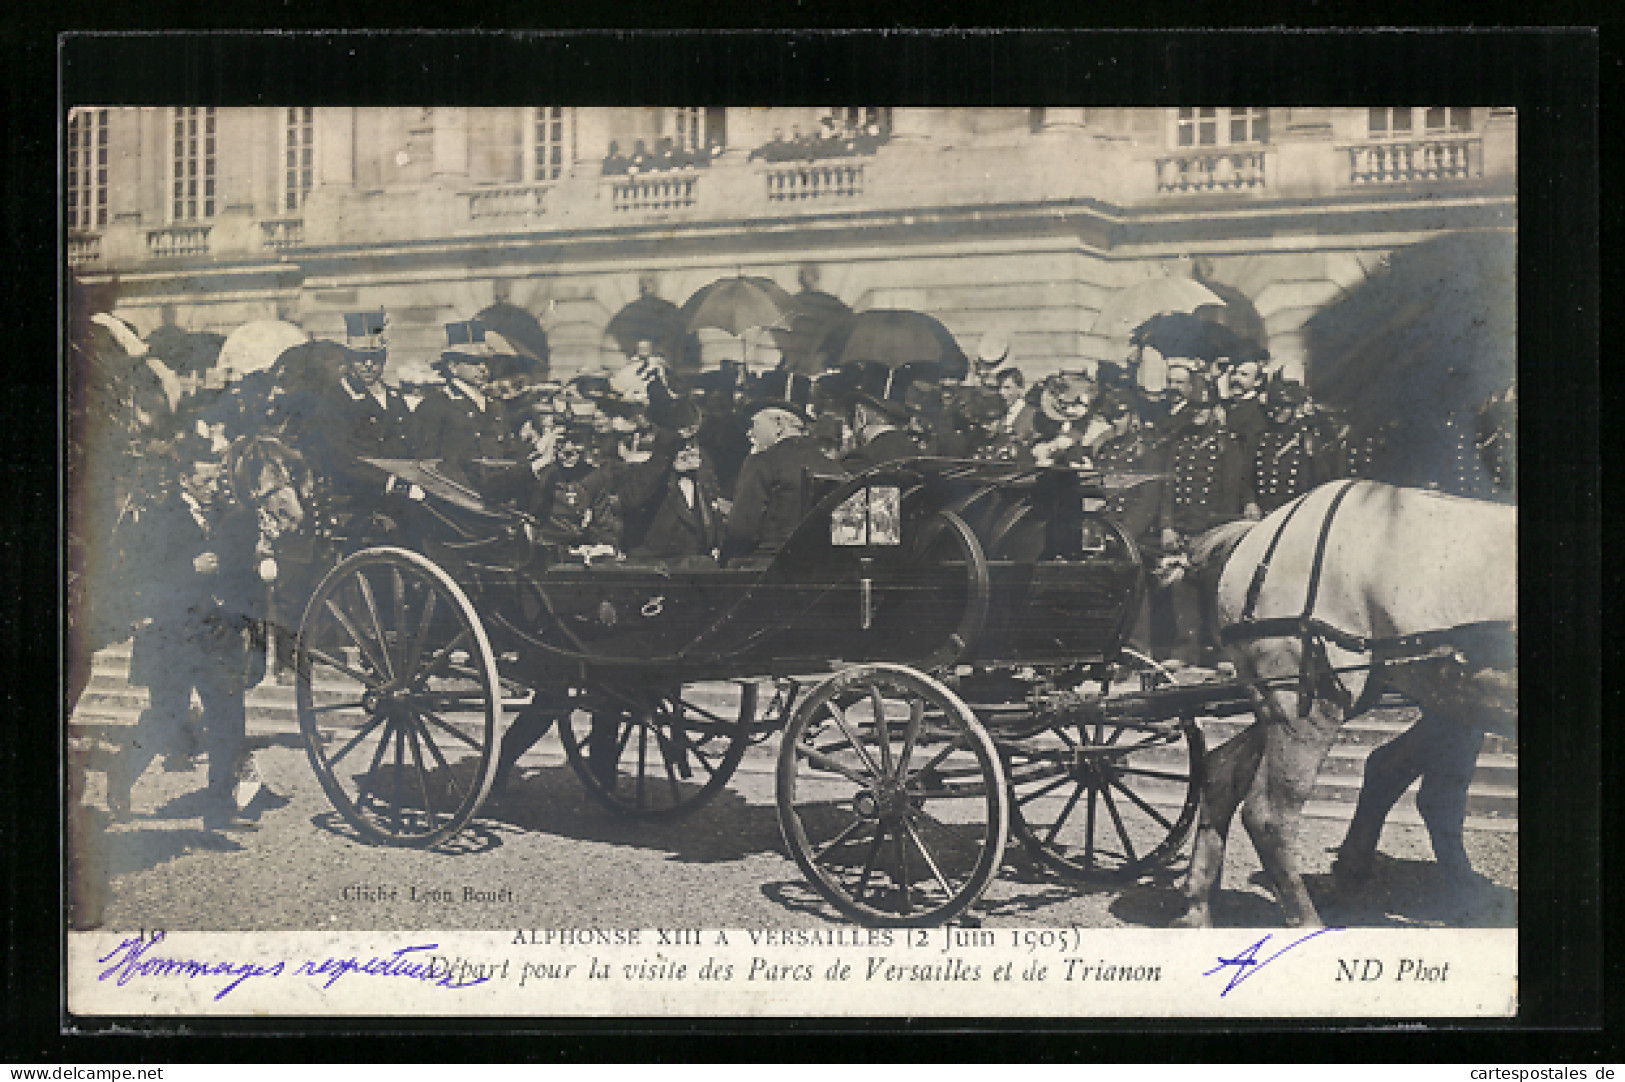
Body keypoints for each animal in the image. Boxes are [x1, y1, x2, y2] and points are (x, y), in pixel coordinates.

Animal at [1176, 480, 1514, 929]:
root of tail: (1261, 531)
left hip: (1299, 699)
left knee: (1222, 770)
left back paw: (1197, 909)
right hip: (1307, 704)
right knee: (1269, 816)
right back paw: (1307, 921)